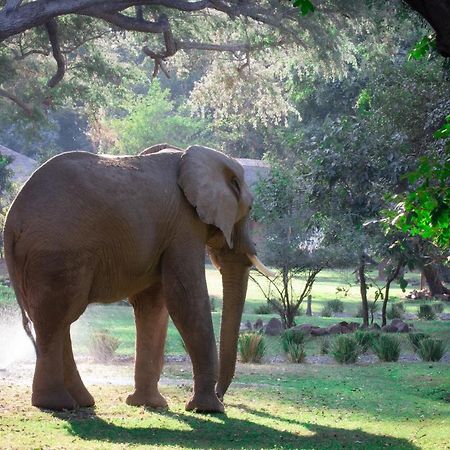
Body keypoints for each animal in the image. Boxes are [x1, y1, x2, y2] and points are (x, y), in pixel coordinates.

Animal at [3, 143, 270, 412]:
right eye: (249, 209)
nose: (223, 397)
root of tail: (11, 220)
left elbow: (152, 304)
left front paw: (150, 404)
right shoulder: (184, 225)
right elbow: (185, 298)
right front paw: (207, 409)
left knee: (58, 319)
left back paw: (82, 402)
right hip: (56, 250)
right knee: (57, 318)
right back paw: (57, 404)